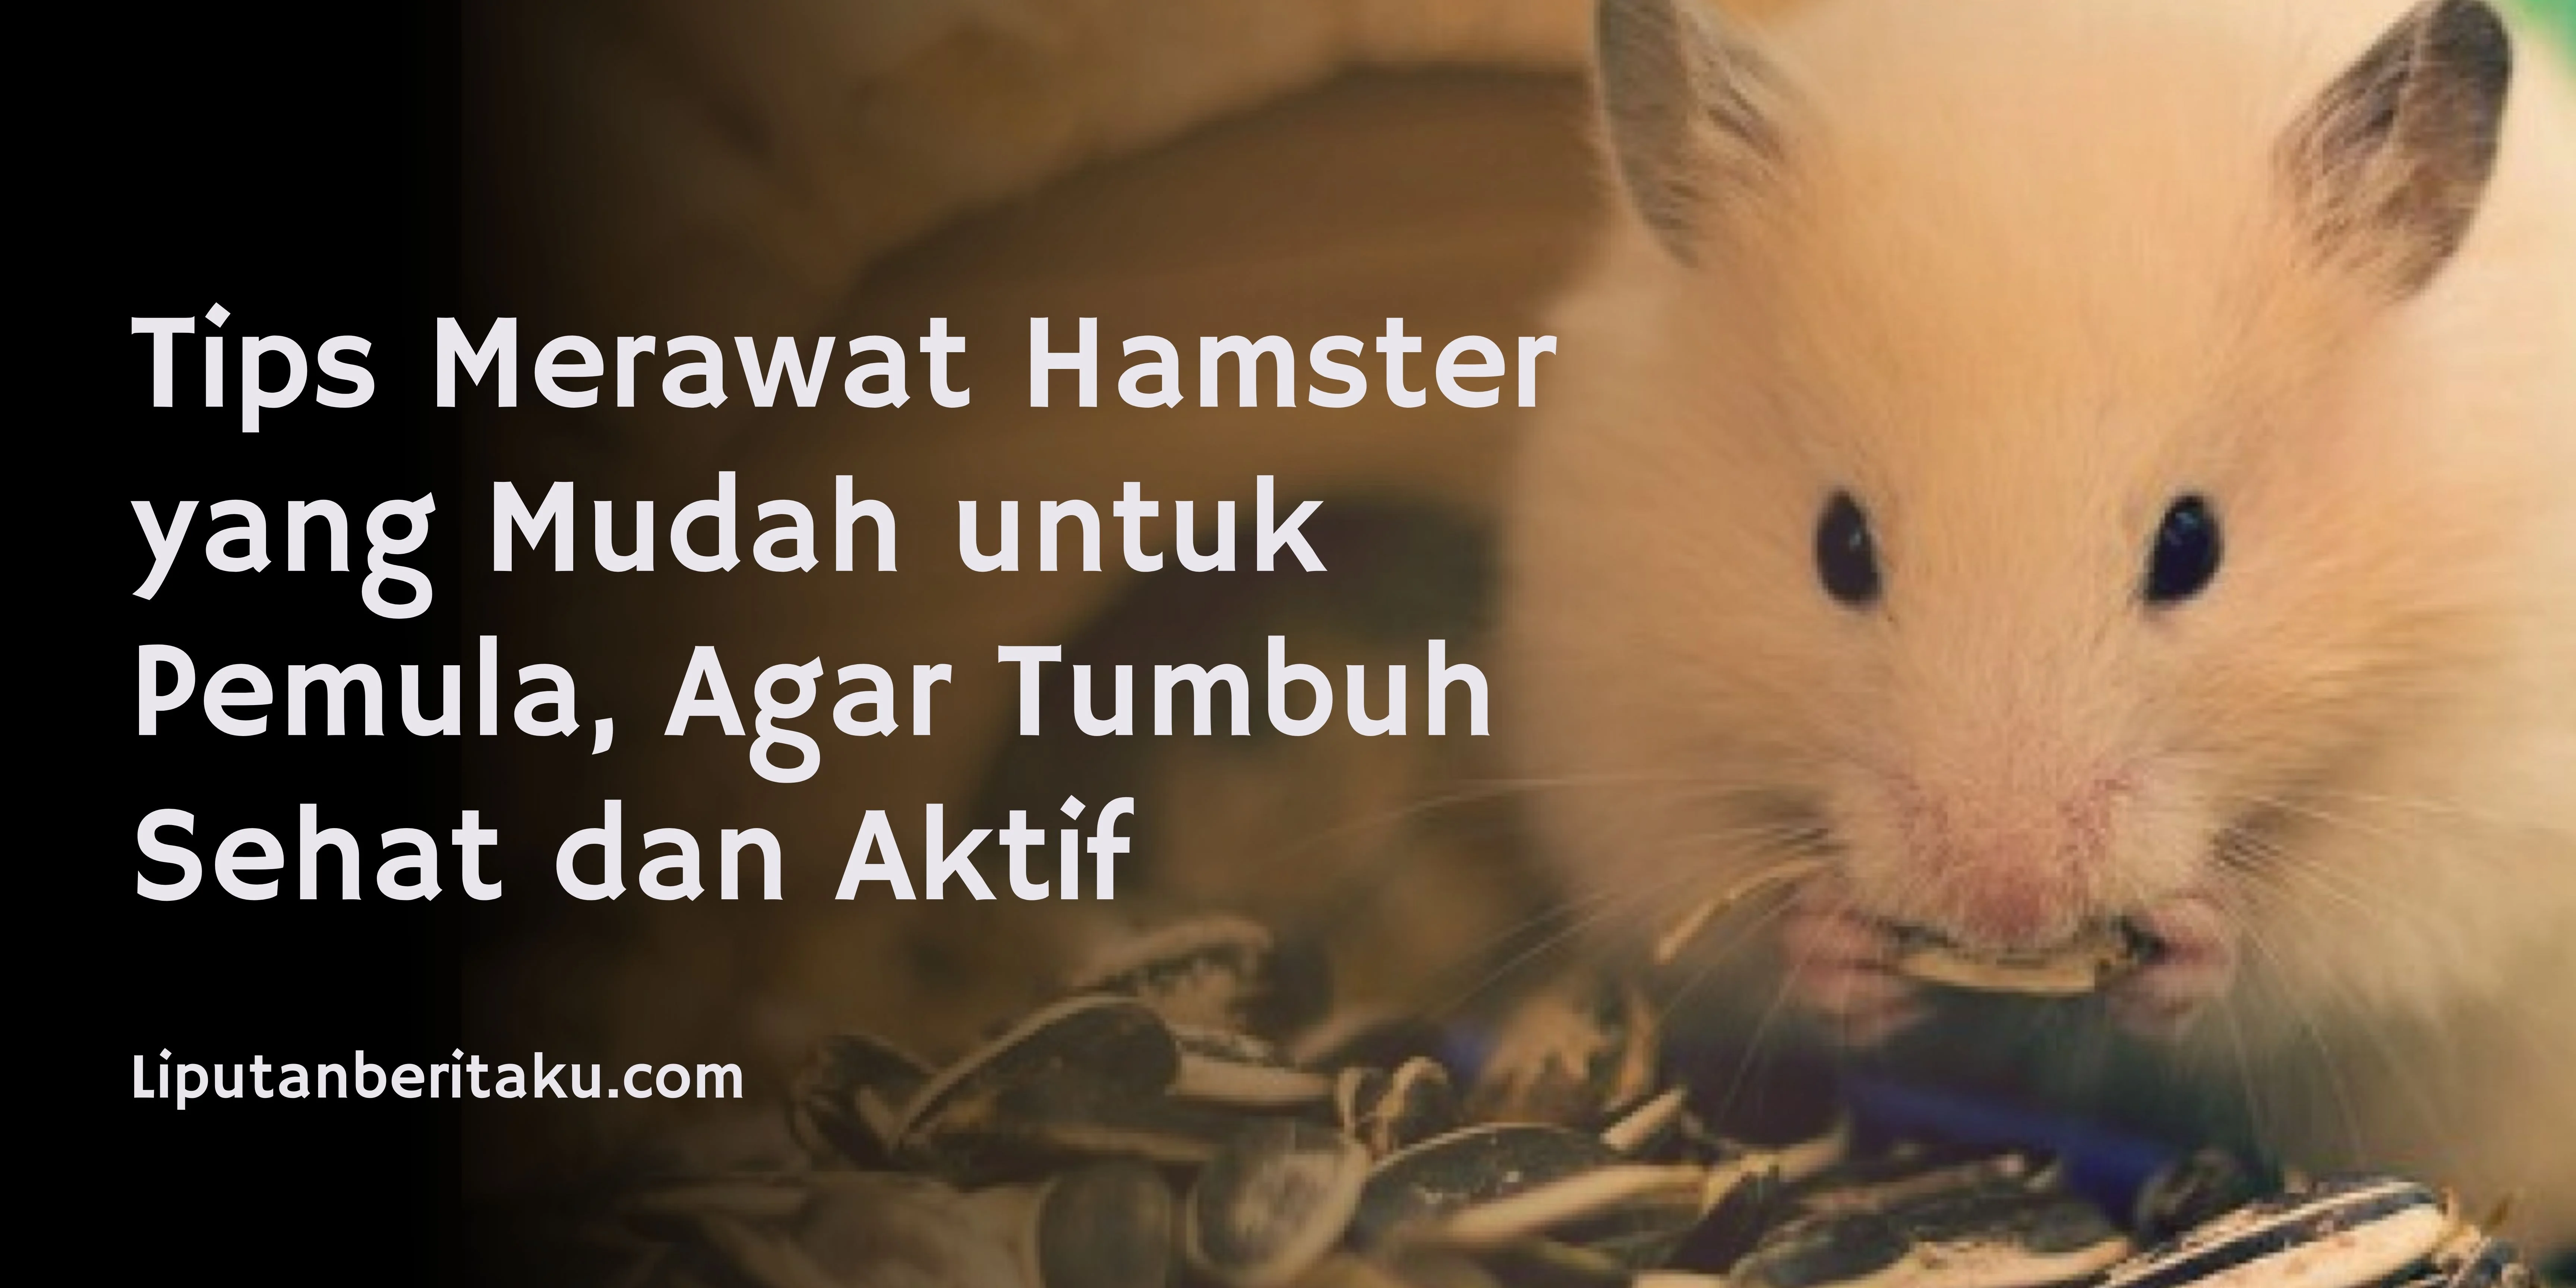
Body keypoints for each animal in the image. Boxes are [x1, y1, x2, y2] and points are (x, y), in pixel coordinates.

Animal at [1507, 0, 2576, 1237]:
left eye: (2192, 545)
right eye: (1839, 547)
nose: (2007, 909)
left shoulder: (2465, 804)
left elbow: (2297, 947)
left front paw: (2195, 938)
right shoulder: (1627, 735)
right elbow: (1736, 921)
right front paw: (1842, 949)